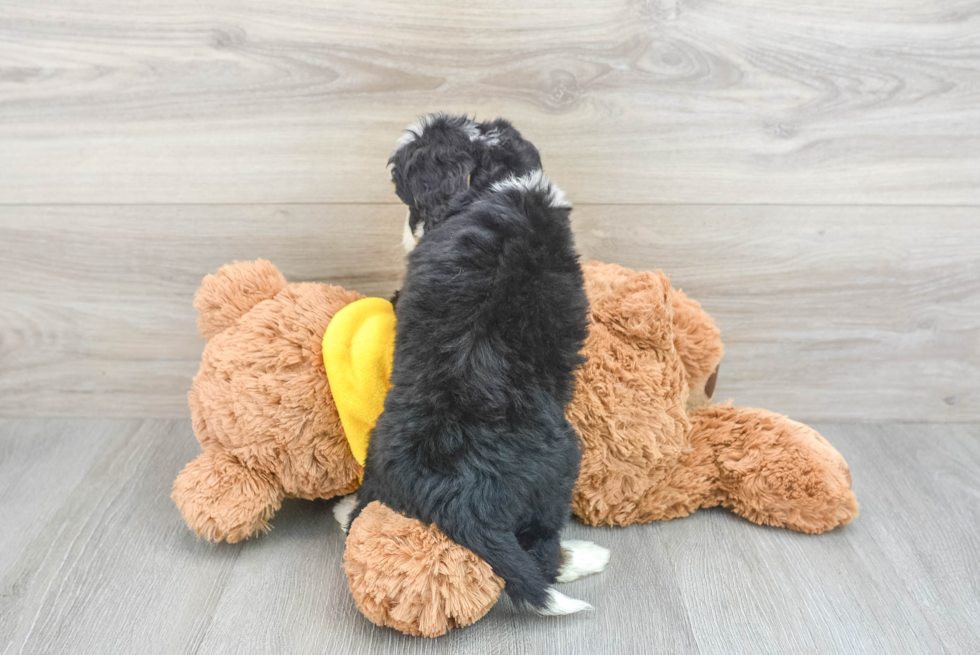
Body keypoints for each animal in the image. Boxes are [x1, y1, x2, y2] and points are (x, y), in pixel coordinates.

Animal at [340, 116, 608, 616]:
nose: (408, 232)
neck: (492, 182)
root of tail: (455, 496)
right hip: (562, 465)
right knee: (541, 554)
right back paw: (585, 556)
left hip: (378, 457)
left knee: (358, 520)